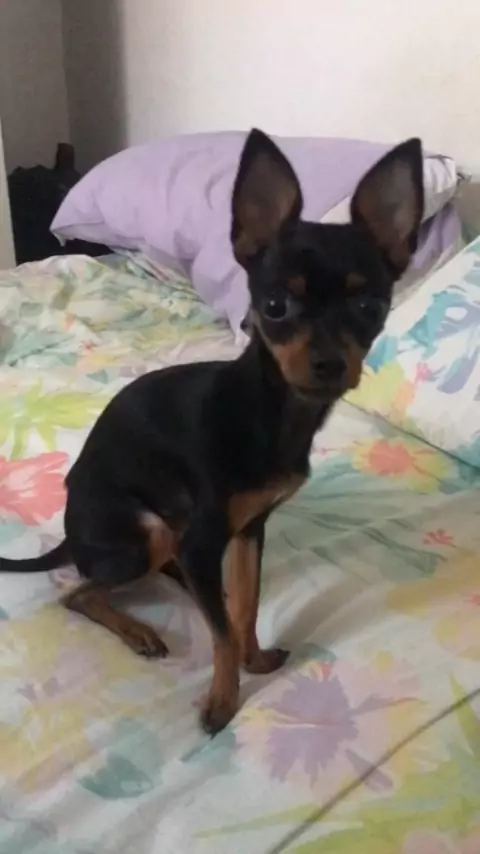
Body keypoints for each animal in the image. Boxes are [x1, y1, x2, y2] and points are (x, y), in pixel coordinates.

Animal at [0, 129, 424, 735]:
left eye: (371, 306)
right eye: (274, 306)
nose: (328, 364)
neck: (274, 411)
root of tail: (70, 532)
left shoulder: (250, 529)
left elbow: (244, 607)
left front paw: (255, 658)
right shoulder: (212, 534)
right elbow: (220, 630)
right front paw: (224, 699)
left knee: (174, 575)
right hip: (143, 536)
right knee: (81, 591)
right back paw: (140, 628)